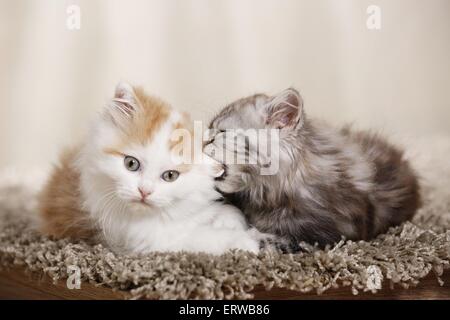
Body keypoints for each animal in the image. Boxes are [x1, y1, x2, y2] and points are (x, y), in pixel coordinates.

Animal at [38, 83, 260, 255]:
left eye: (170, 175)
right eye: (131, 164)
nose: (144, 191)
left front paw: (228, 219)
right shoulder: (151, 240)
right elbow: (202, 238)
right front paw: (245, 241)